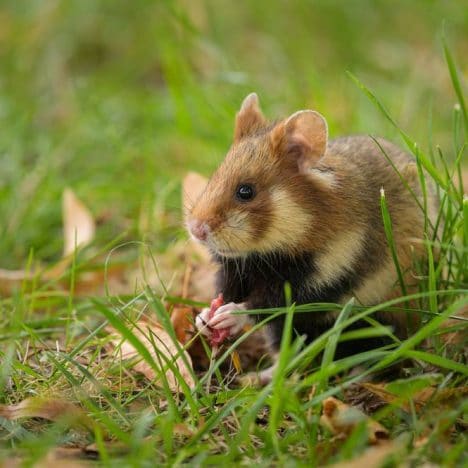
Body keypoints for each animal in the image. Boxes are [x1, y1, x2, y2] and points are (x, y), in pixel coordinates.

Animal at [185, 92, 436, 384]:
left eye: (245, 191)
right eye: (214, 177)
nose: (195, 230)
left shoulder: (319, 279)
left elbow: (267, 305)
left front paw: (227, 315)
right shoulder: (237, 268)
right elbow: (225, 289)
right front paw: (203, 319)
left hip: (383, 319)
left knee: (382, 351)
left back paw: (353, 378)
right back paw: (257, 378)